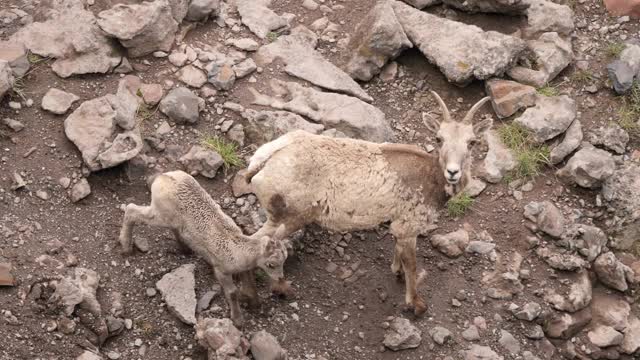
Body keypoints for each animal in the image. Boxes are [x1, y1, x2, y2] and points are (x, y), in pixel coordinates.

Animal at [119, 170, 288, 324]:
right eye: (271, 264)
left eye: (284, 260)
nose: (280, 278)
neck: (237, 250)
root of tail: (162, 177)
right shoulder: (221, 271)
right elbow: (232, 293)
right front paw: (238, 320)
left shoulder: (244, 269)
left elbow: (251, 285)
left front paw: (255, 304)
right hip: (160, 215)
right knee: (131, 210)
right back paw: (126, 247)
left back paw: (185, 248)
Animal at [244, 91, 490, 314]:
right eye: (439, 139)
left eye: (472, 142)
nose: (453, 172)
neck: (429, 178)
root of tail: (262, 162)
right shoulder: (409, 226)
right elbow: (412, 266)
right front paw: (416, 305)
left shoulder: (398, 224)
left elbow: (398, 252)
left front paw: (396, 270)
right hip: (288, 217)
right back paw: (274, 290)